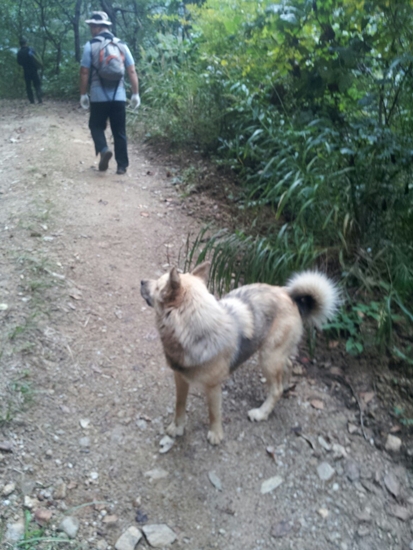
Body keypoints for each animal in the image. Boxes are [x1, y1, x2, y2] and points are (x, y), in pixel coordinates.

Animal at [141, 260, 338, 446]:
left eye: (158, 286)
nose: (142, 281)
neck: (192, 330)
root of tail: (290, 296)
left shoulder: (213, 387)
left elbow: (214, 412)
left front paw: (216, 434)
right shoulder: (180, 377)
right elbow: (179, 405)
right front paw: (177, 427)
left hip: (268, 358)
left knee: (275, 389)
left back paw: (262, 412)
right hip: (276, 355)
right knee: (287, 367)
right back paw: (285, 385)